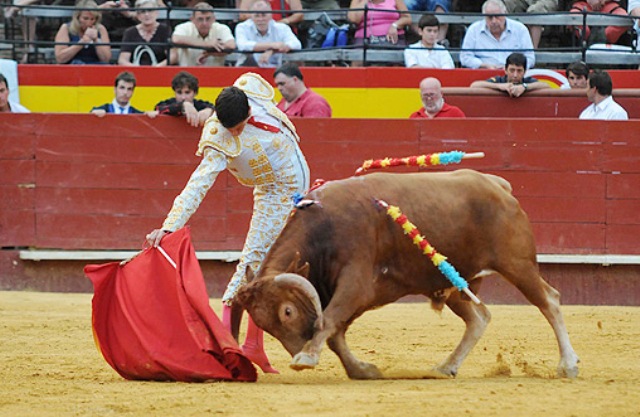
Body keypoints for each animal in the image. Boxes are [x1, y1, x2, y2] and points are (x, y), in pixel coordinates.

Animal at [235, 170, 580, 380]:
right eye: (265, 326)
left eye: (287, 311)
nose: (297, 349)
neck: (325, 226)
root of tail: (497, 185)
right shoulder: (350, 293)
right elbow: (335, 333)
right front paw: (362, 370)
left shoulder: (355, 285)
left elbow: (329, 321)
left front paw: (306, 358)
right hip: (452, 282)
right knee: (479, 317)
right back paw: (446, 367)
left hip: (518, 264)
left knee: (549, 301)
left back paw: (568, 364)